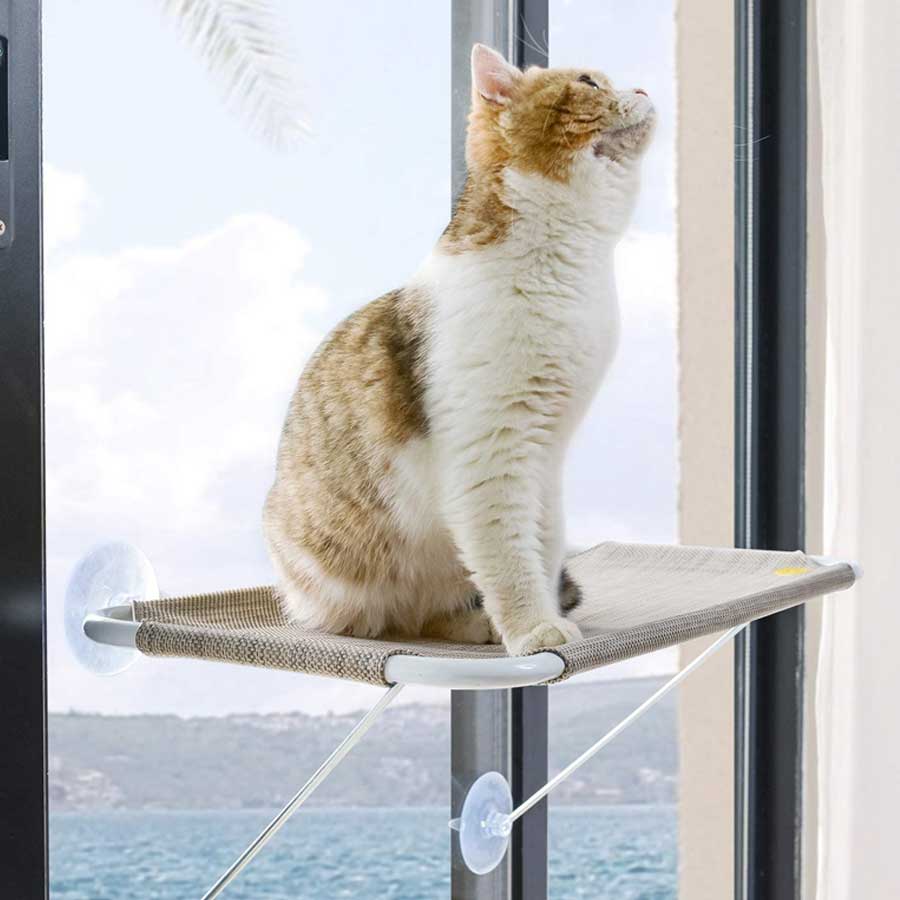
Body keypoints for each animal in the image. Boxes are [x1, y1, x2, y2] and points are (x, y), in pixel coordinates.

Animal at [264, 42, 656, 652]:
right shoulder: (492, 452)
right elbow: (510, 558)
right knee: (397, 619)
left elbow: (544, 546)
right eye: (589, 82)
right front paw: (535, 628)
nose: (642, 89)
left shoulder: (546, 457)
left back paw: (476, 623)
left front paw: (538, 615)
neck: (569, 265)